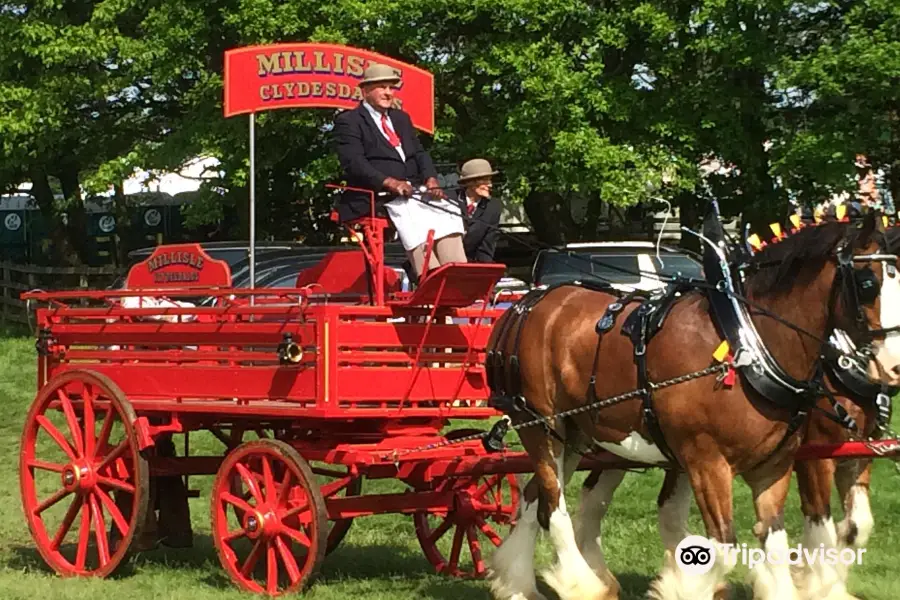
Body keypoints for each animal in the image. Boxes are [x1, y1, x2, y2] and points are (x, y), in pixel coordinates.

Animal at [486, 213, 900, 600]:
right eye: (867, 283)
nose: (894, 366)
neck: (747, 345)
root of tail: (524, 305)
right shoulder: (713, 462)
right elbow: (728, 547)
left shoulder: (779, 465)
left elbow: (786, 541)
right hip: (539, 426)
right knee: (555, 509)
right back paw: (583, 585)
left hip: (578, 436)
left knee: (538, 502)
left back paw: (518, 584)